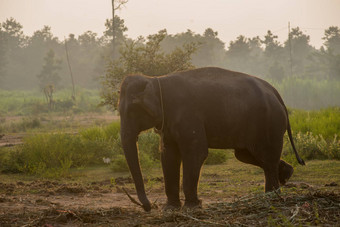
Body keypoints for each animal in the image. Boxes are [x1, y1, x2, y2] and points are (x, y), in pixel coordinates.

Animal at [118, 66, 304, 212]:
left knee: (265, 156)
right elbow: (168, 155)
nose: (150, 207)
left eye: (132, 110)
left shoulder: (189, 115)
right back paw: (286, 175)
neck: (156, 80)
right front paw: (170, 209)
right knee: (248, 156)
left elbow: (196, 152)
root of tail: (275, 92)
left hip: (268, 122)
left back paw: (271, 197)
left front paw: (192, 207)